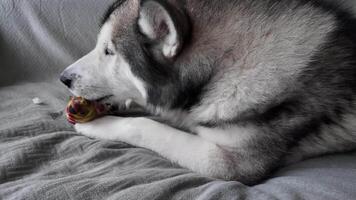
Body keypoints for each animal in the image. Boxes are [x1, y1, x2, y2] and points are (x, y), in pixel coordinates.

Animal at [60, 0, 356, 184]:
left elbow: (144, 126)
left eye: (109, 51)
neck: (228, 61)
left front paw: (99, 125)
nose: (63, 78)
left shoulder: (228, 164)